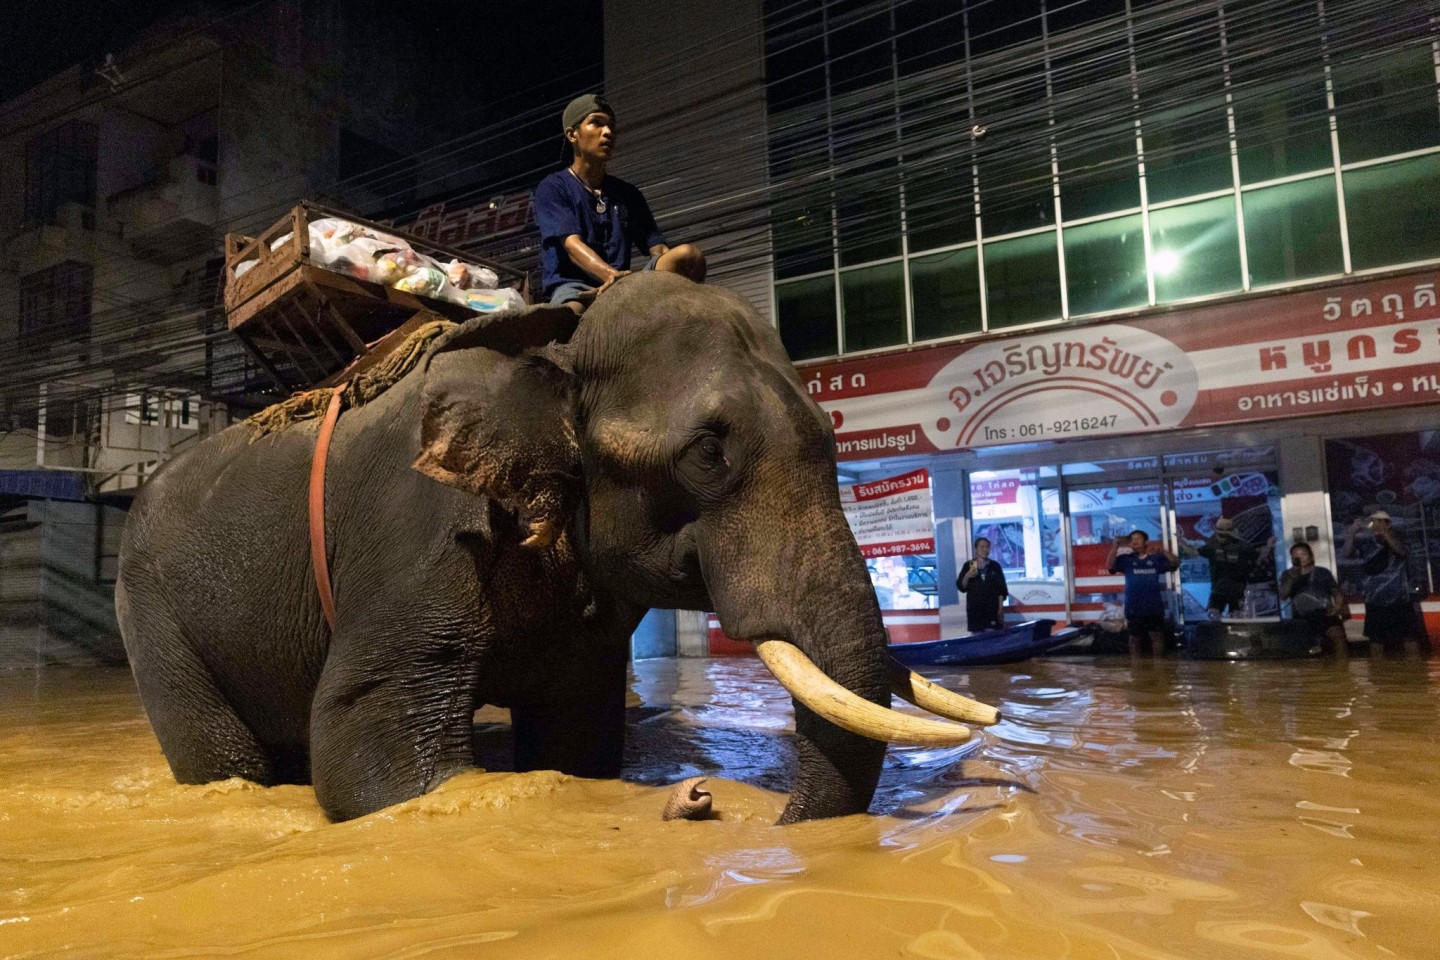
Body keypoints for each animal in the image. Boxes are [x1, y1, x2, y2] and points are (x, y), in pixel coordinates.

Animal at [115, 272, 1002, 829]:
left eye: (832, 435)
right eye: (708, 452)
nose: (710, 805)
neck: (559, 337)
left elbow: (576, 735)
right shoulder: (423, 531)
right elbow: (372, 755)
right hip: (150, 613)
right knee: (223, 757)